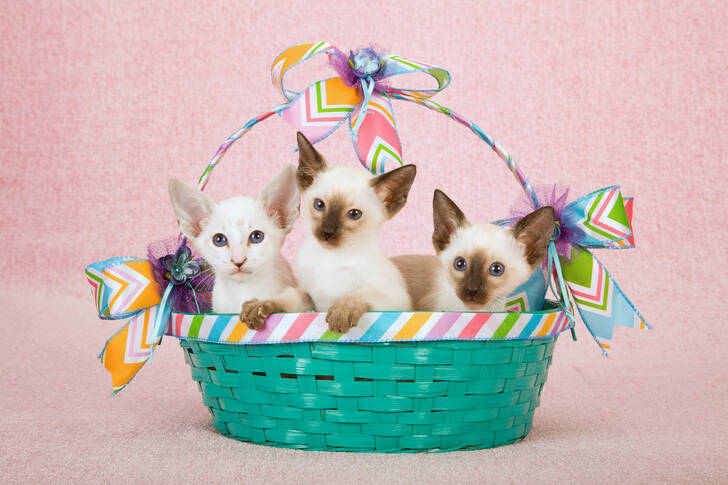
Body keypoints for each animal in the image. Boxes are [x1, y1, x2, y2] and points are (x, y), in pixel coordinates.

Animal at [292, 133, 416, 332]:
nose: (327, 232)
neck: (330, 258)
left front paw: (341, 313)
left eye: (354, 214)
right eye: (319, 205)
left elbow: (358, 295)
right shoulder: (308, 295)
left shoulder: (395, 300)